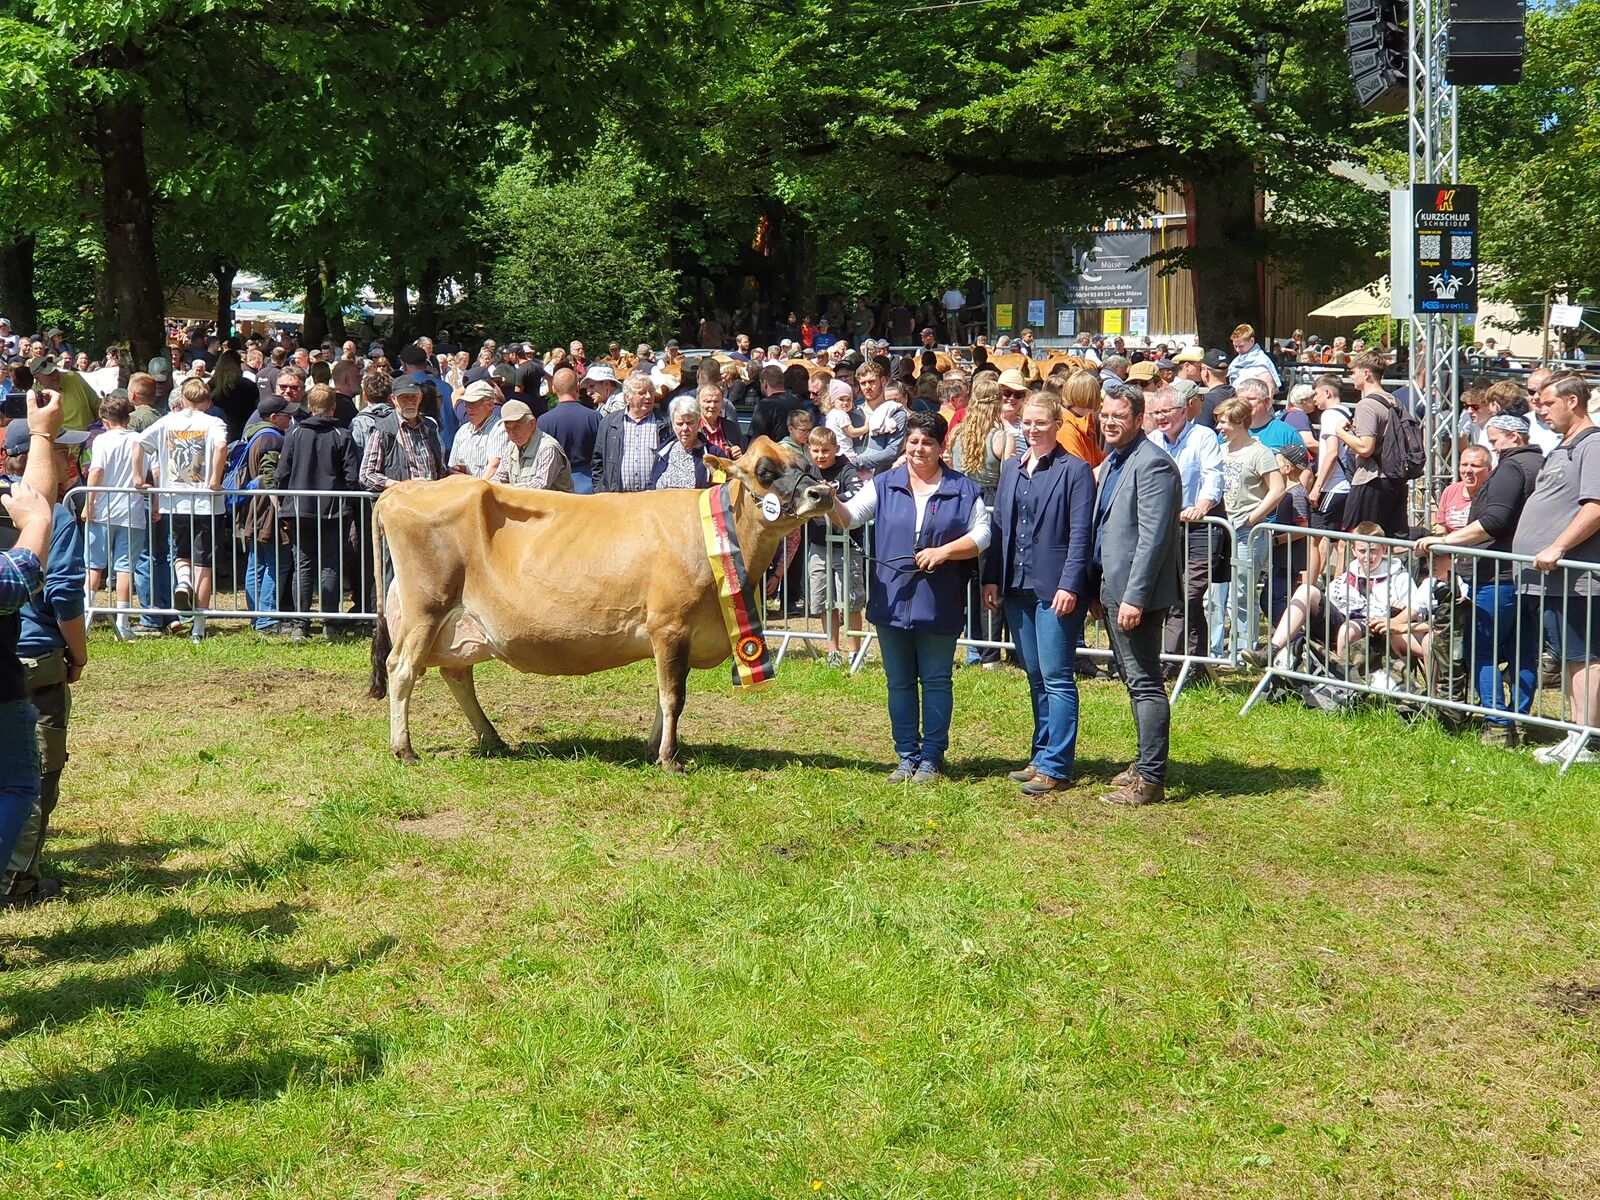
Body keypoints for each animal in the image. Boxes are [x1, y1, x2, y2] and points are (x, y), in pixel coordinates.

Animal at [366, 438, 832, 771]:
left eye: (809, 465)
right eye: (766, 471)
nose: (821, 493)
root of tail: (400, 491)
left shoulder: (675, 636)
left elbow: (665, 693)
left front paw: (653, 748)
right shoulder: (670, 625)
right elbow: (673, 695)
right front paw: (669, 758)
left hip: (456, 623)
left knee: (456, 674)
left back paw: (493, 740)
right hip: (425, 609)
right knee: (401, 669)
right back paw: (404, 750)